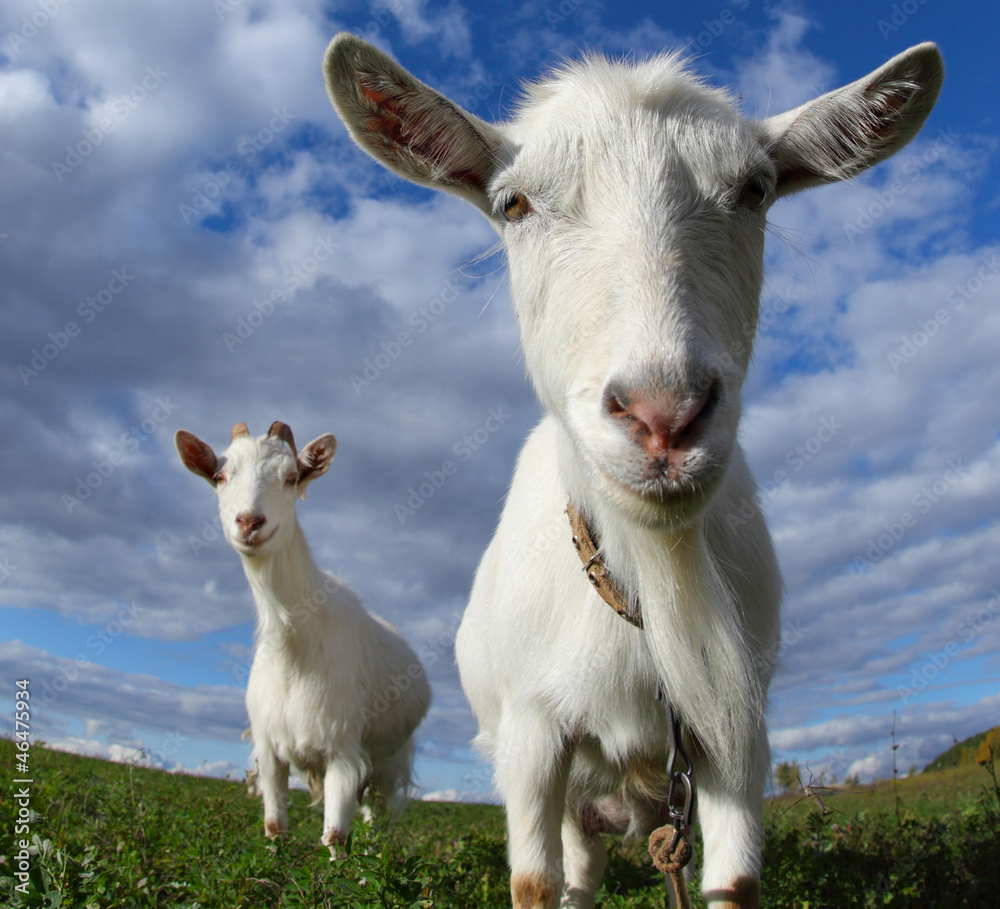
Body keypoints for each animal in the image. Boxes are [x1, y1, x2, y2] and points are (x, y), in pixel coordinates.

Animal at [175, 421, 430, 846]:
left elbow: (335, 837)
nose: (249, 522)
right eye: (220, 476)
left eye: (291, 477)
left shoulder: (343, 750)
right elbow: (275, 826)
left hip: (388, 761)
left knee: (375, 820)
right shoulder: (268, 749)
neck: (294, 647)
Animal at [324, 36, 943, 907]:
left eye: (756, 190)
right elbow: (535, 882)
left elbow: (735, 881)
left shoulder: (737, 727)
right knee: (578, 872)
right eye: (513, 204)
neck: (649, 582)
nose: (663, 413)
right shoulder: (532, 733)